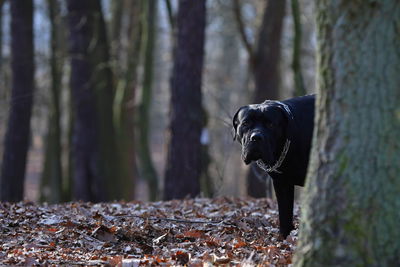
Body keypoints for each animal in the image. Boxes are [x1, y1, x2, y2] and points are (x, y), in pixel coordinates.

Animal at [233, 94, 314, 239]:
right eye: (246, 123)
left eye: (270, 124)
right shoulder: (281, 183)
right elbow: (284, 213)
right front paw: (284, 237)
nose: (256, 137)